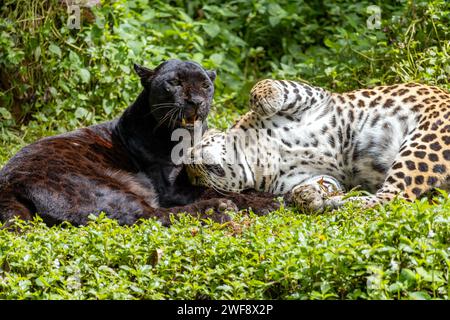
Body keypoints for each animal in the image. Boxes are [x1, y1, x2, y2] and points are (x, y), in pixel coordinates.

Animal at [185, 79, 450, 211]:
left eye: (196, 147)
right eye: (195, 181)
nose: (190, 164)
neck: (256, 155)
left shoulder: (318, 98)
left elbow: (270, 84)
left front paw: (267, 101)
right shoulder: (308, 176)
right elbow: (321, 183)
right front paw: (308, 196)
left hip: (423, 142)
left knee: (395, 195)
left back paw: (341, 204)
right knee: (393, 198)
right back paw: (337, 203)